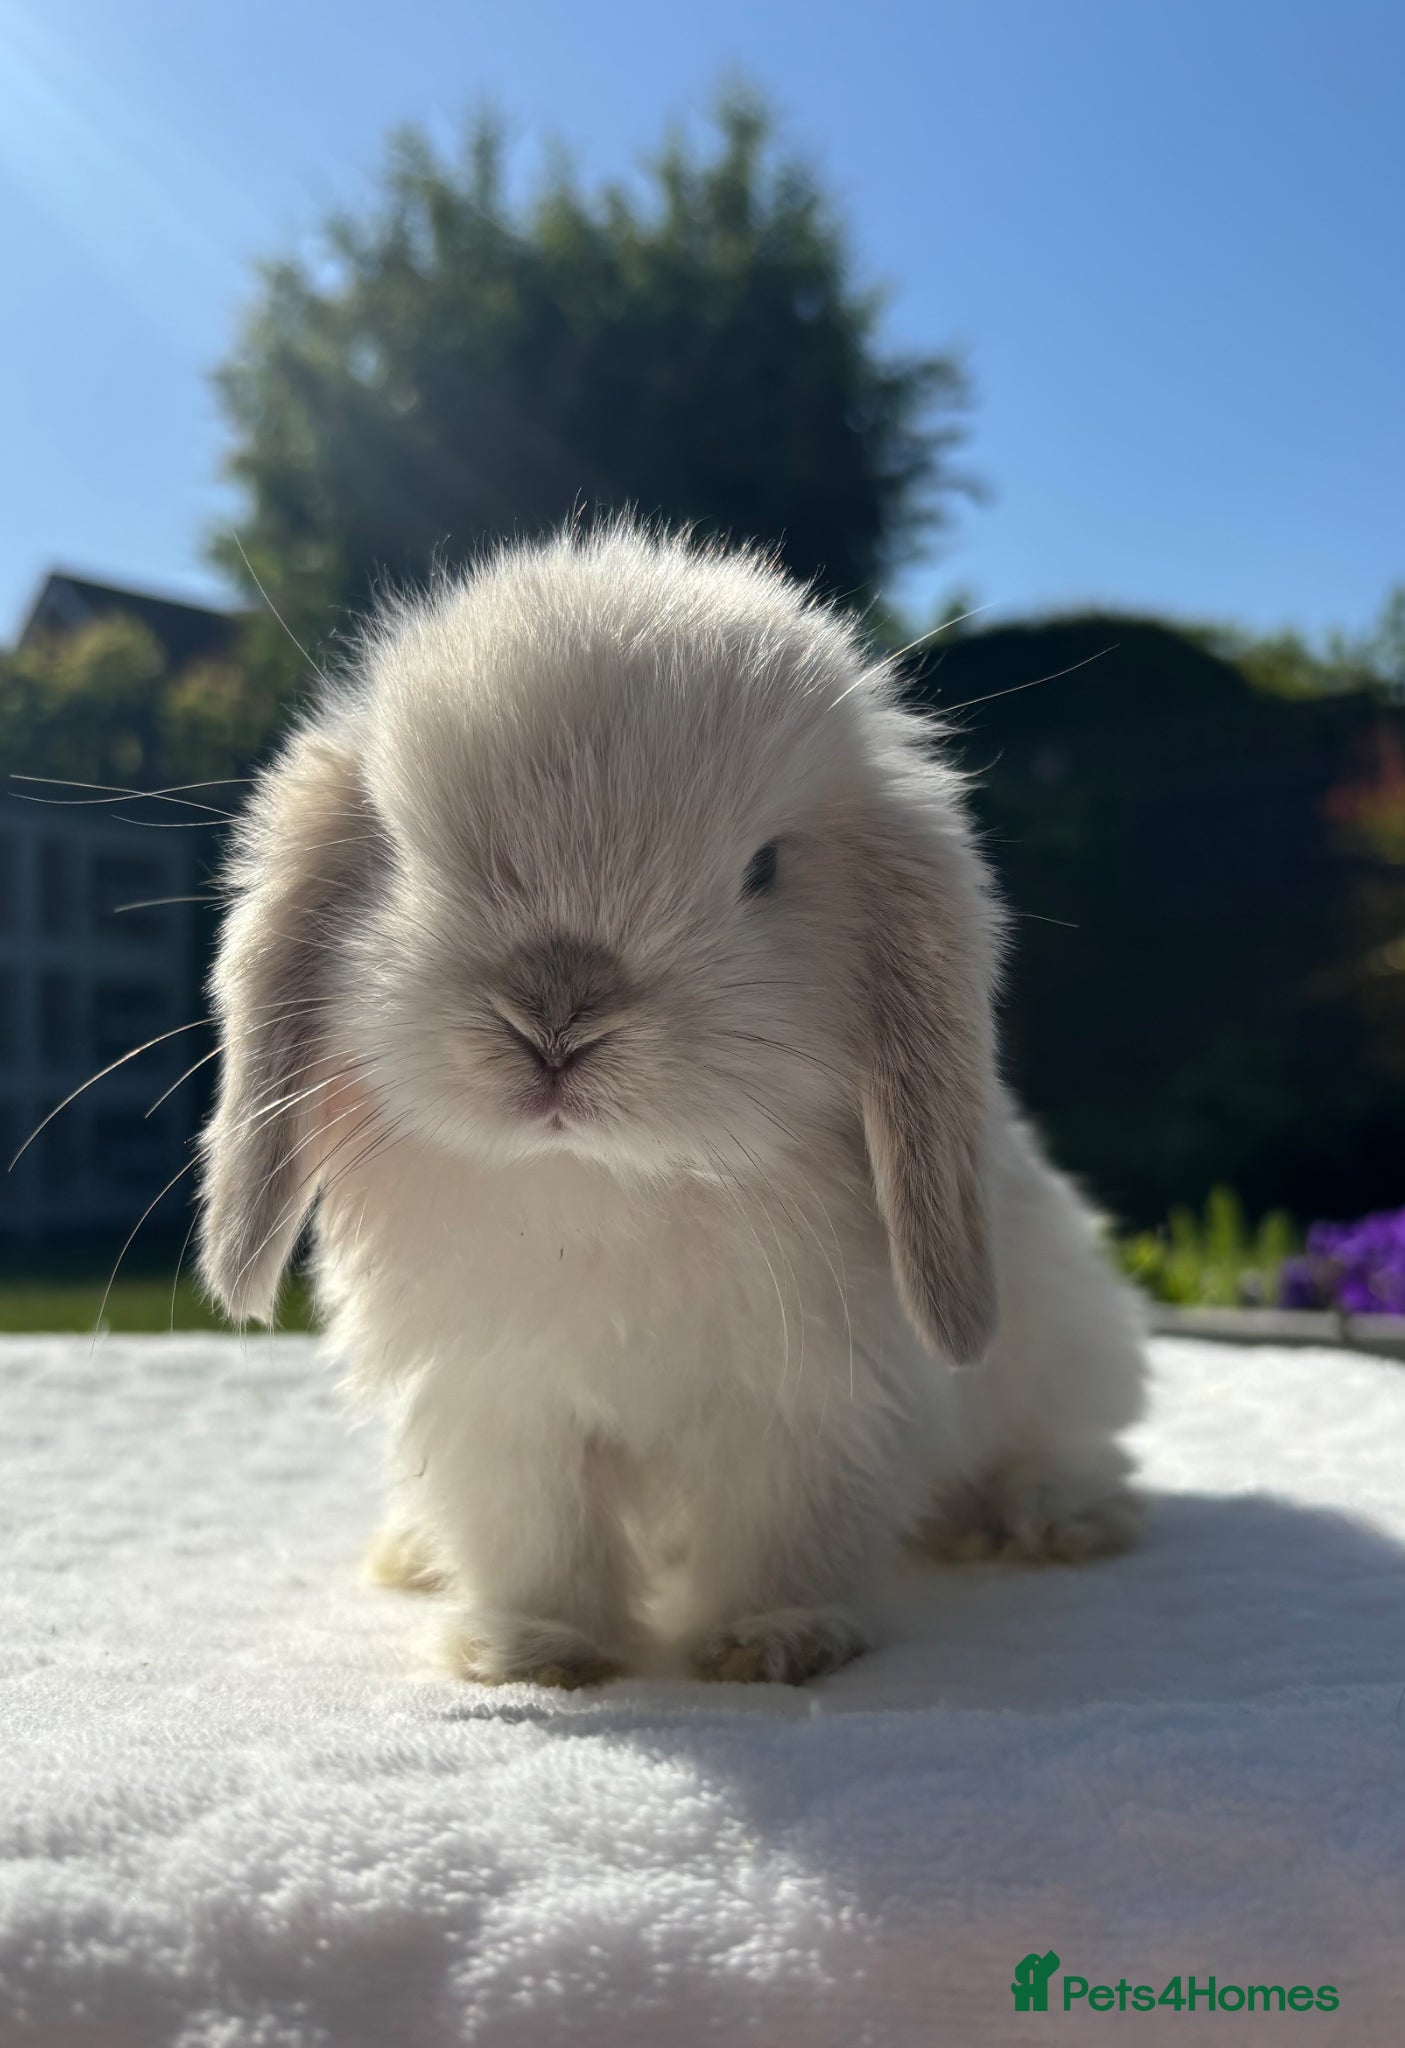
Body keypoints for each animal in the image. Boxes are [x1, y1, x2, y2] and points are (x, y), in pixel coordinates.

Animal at [197, 521, 1146, 1688]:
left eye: (764, 867)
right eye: (398, 850)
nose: (554, 1015)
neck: (605, 1180)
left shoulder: (806, 1408)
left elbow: (779, 1530)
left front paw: (771, 1643)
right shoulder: (503, 1407)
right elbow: (535, 1536)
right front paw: (529, 1652)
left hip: (1069, 1345)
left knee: (1065, 1445)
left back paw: (1041, 1519)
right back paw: (413, 1556)